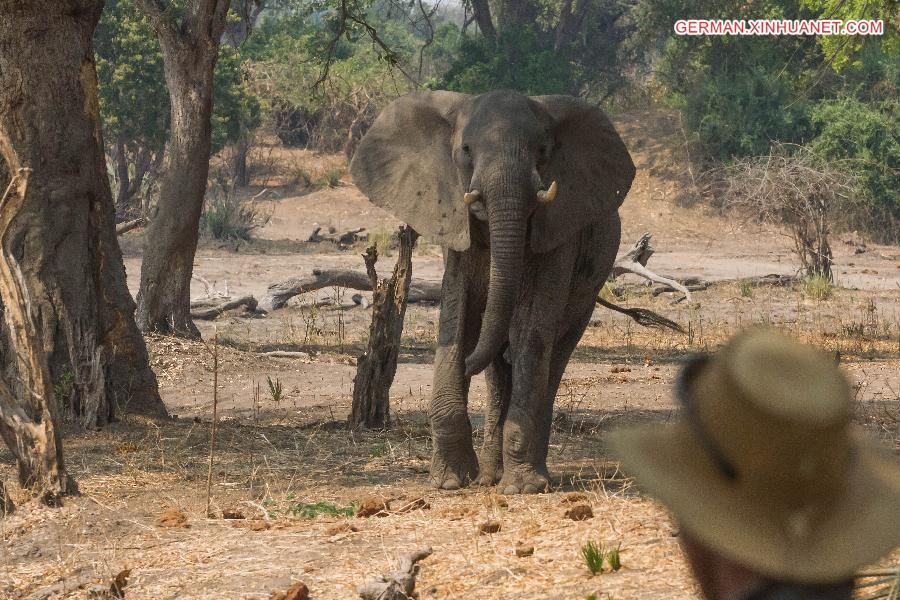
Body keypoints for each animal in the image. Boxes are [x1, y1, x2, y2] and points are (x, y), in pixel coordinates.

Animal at [348, 88, 636, 492]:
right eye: (466, 150)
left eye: (543, 150)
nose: (468, 363)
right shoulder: (455, 228)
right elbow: (458, 315)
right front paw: (449, 482)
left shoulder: (558, 231)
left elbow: (530, 329)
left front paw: (522, 487)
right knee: (499, 367)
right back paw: (489, 476)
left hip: (589, 290)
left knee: (551, 355)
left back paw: (531, 476)